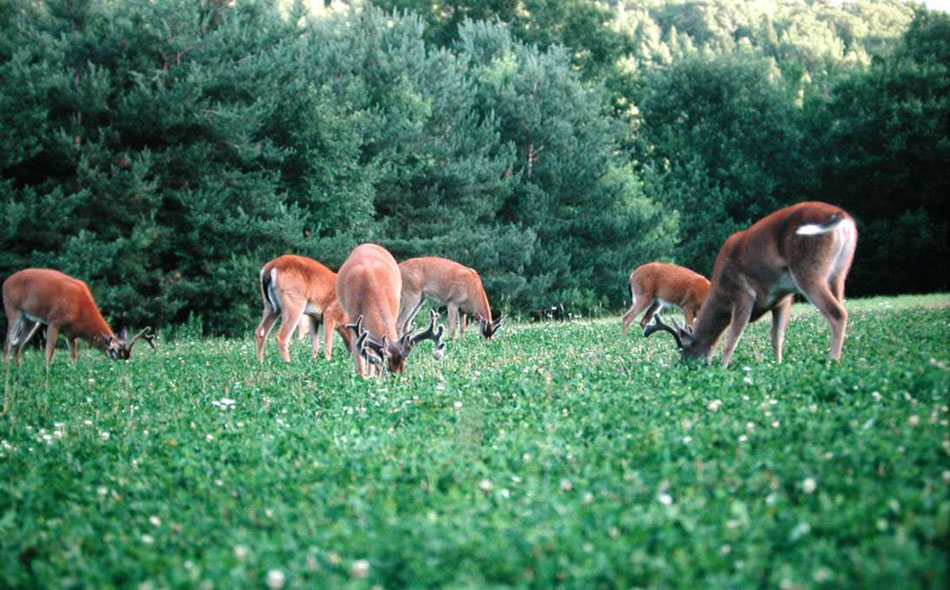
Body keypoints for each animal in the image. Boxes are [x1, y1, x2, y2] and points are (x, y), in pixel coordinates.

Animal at [2, 270, 154, 370]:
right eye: (114, 353)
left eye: (126, 357)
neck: (80, 309)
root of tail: (5, 283)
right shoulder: (54, 322)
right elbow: (49, 352)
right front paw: (47, 371)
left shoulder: (71, 334)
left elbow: (74, 357)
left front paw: (74, 371)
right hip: (13, 310)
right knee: (7, 344)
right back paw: (7, 370)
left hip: (31, 320)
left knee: (17, 344)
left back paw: (18, 369)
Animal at [338, 245, 446, 380]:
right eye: (388, 370)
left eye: (404, 366)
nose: (396, 380)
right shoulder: (353, 322)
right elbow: (360, 357)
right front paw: (364, 378)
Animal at [648, 206, 864, 368]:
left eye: (684, 350)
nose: (682, 365)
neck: (720, 293)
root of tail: (841, 217)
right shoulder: (783, 298)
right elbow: (777, 337)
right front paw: (777, 365)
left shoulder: (743, 294)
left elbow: (733, 337)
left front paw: (723, 367)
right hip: (838, 274)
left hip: (808, 270)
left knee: (837, 313)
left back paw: (832, 361)